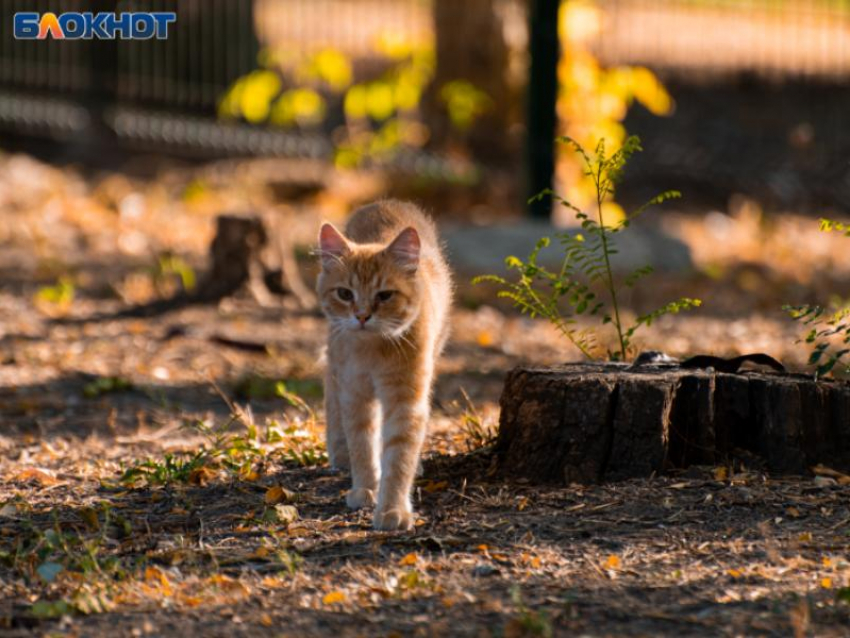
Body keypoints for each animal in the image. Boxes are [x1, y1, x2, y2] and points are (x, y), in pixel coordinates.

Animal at [316, 202, 450, 532]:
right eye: (345, 294)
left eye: (384, 295)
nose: (362, 316)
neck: (373, 351)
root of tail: (385, 202)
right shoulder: (355, 393)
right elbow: (361, 443)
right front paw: (365, 487)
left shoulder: (406, 399)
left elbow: (400, 454)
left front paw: (392, 507)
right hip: (335, 357)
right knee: (331, 393)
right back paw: (340, 452)